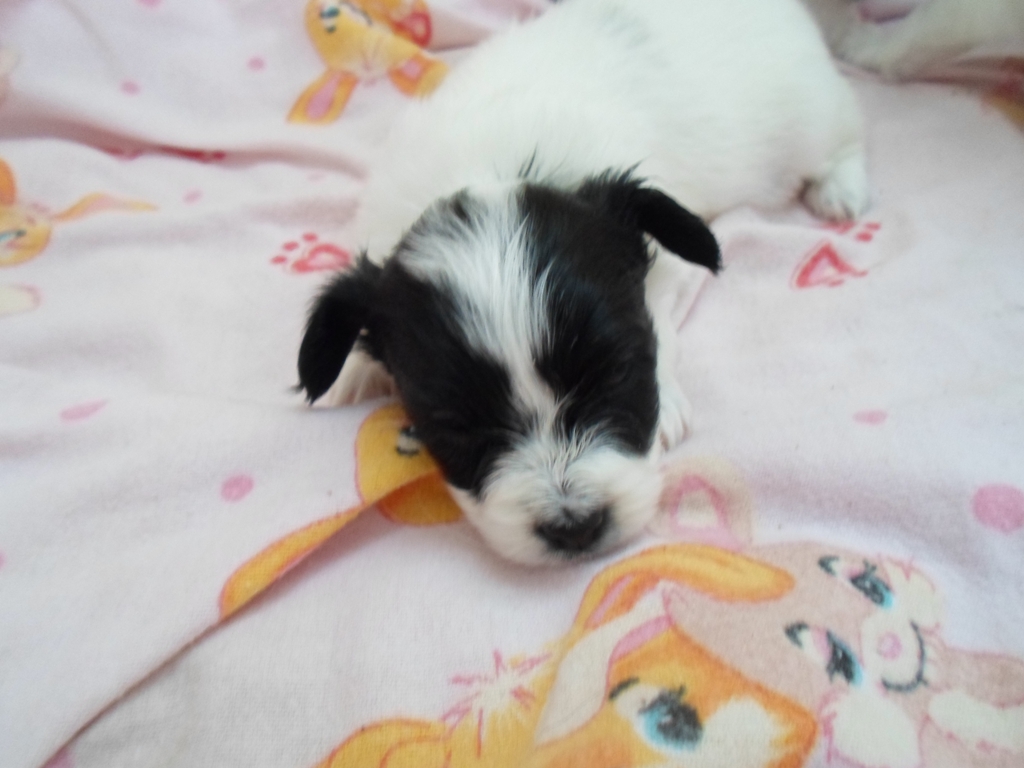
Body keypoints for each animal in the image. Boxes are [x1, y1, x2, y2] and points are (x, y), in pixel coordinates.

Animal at [297, 0, 871, 565]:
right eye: (454, 425)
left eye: (616, 374)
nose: (575, 527)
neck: (490, 165)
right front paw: (353, 371)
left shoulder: (672, 265)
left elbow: (663, 321)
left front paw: (667, 403)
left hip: (809, 115)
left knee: (841, 135)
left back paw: (841, 188)